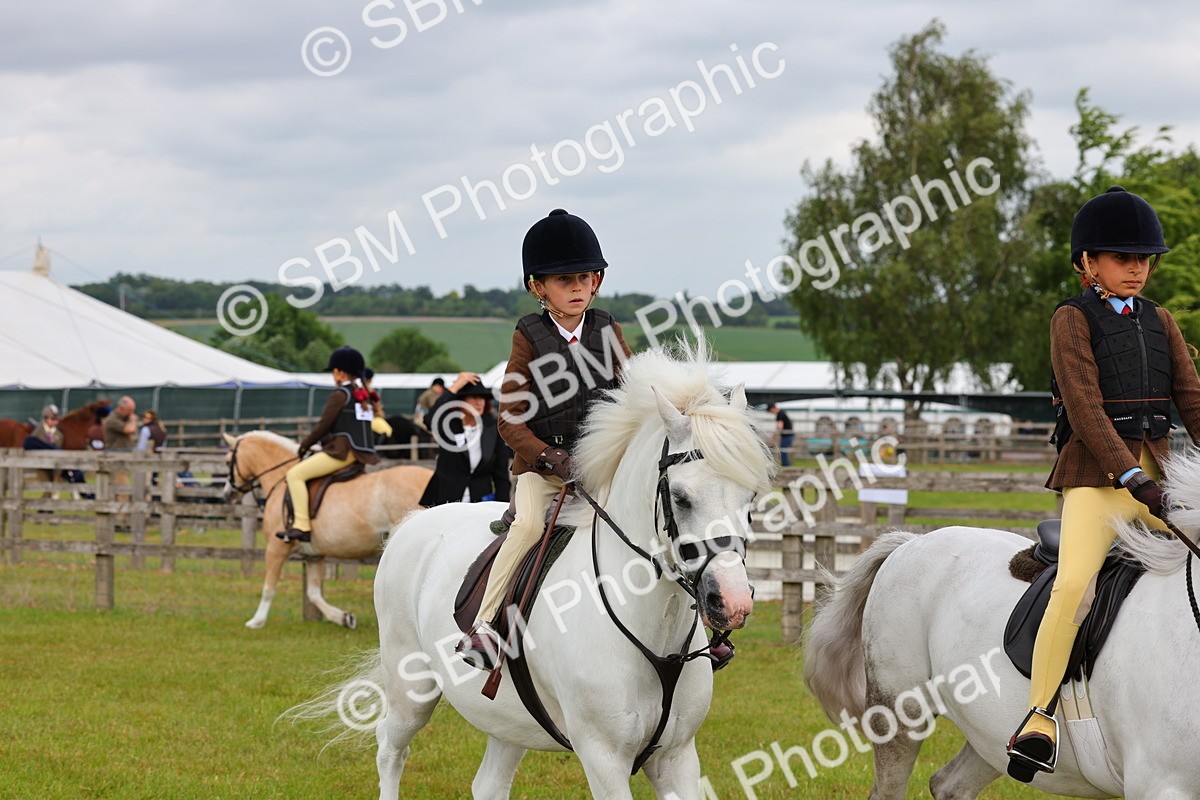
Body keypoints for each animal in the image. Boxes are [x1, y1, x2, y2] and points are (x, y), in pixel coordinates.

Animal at [221, 430, 433, 629]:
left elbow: (268, 588)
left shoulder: (276, 548)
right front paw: (343, 618)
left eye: (227, 461)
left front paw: (256, 621)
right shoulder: (314, 556)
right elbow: (313, 593)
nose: (227, 494)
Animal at [295, 343, 775, 799]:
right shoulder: (603, 757)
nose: (730, 602)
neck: (652, 630)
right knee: (390, 749)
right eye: (681, 497)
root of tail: (415, 522)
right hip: (409, 689)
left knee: (488, 785)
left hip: (507, 718)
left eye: (749, 495)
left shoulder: (677, 757)